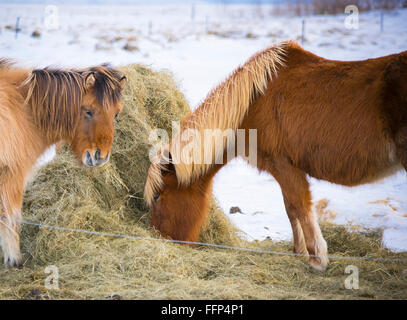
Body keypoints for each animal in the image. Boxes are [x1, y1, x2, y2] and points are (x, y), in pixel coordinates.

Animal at [0, 59, 125, 268]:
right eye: (88, 111)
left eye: (116, 114)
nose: (100, 157)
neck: (24, 109)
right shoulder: (12, 176)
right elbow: (11, 218)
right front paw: (14, 259)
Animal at [146, 40, 407, 270]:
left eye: (158, 196)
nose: (160, 239)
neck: (253, 102)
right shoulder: (285, 169)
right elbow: (291, 209)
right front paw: (300, 252)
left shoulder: (283, 165)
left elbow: (301, 207)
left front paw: (317, 259)